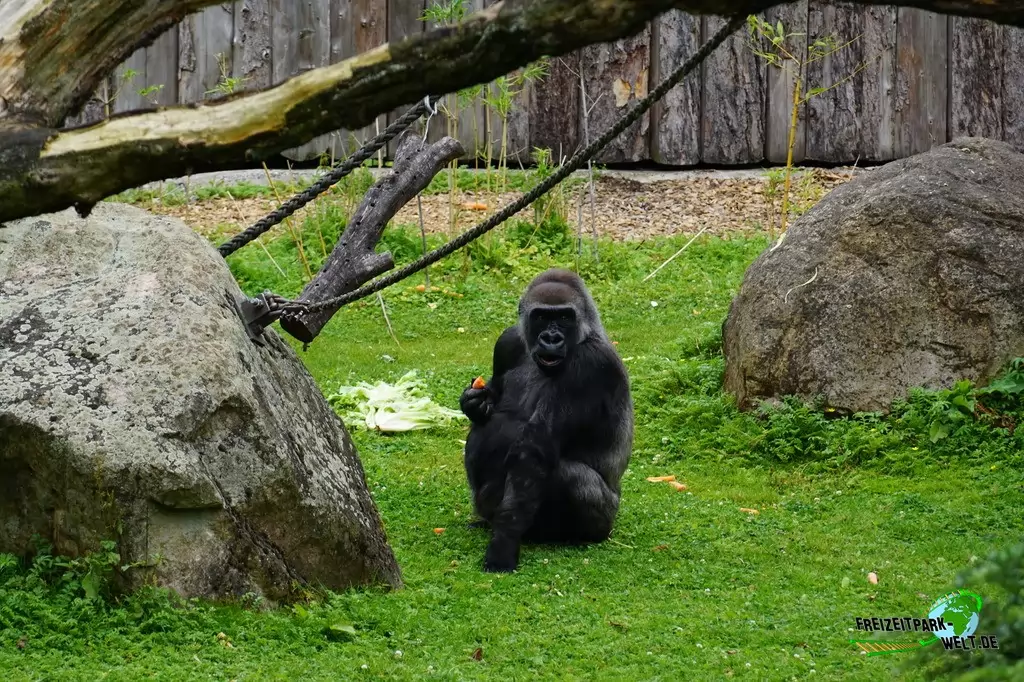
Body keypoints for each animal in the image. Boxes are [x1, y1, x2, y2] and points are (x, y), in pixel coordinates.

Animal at [459, 268, 634, 572]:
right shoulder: (508, 341)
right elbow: (491, 404)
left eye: (564, 317)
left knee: (571, 477)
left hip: (607, 519)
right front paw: (475, 402)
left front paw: (503, 543)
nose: (551, 338)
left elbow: (534, 452)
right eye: (541, 316)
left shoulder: (590, 364)